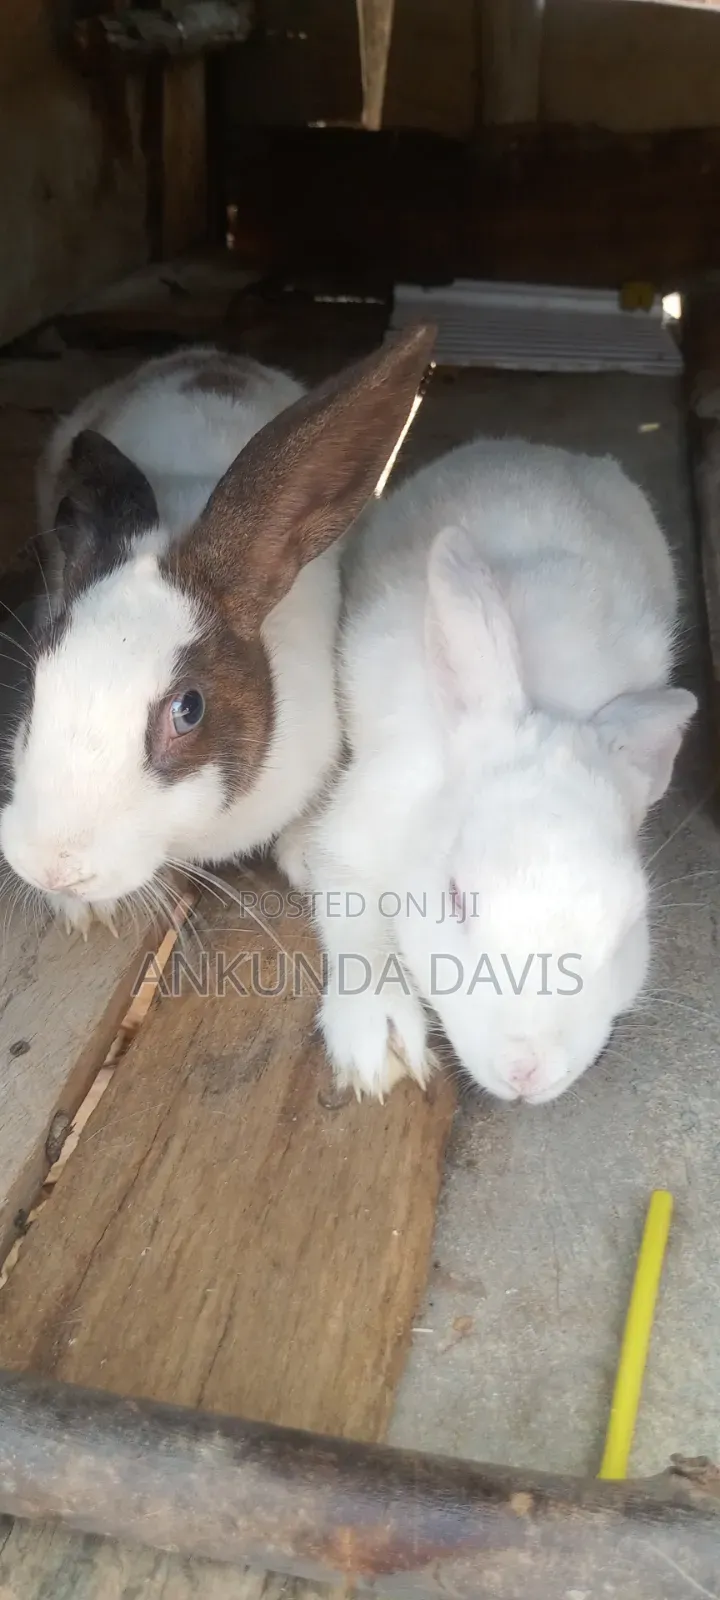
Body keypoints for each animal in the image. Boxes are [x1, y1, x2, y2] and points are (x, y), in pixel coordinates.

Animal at [276, 437, 697, 1106]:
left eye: (628, 923)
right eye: (456, 899)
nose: (527, 1071)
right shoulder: (358, 838)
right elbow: (353, 917)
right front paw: (380, 1043)